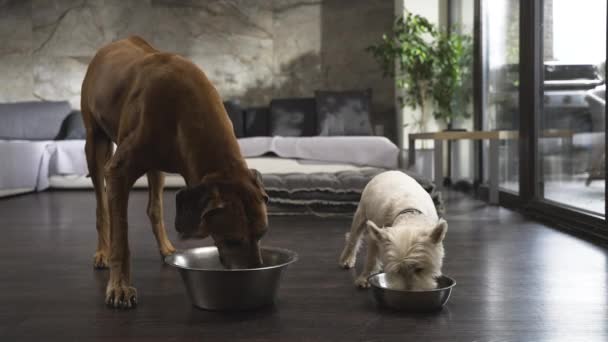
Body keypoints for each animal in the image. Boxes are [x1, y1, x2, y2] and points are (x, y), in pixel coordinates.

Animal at [81, 36, 268, 308]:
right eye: (232, 240)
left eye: (263, 234)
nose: (254, 276)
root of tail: (113, 44)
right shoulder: (117, 172)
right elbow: (121, 241)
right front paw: (119, 287)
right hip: (95, 143)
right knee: (102, 206)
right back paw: (102, 252)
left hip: (156, 167)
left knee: (154, 207)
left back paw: (166, 248)